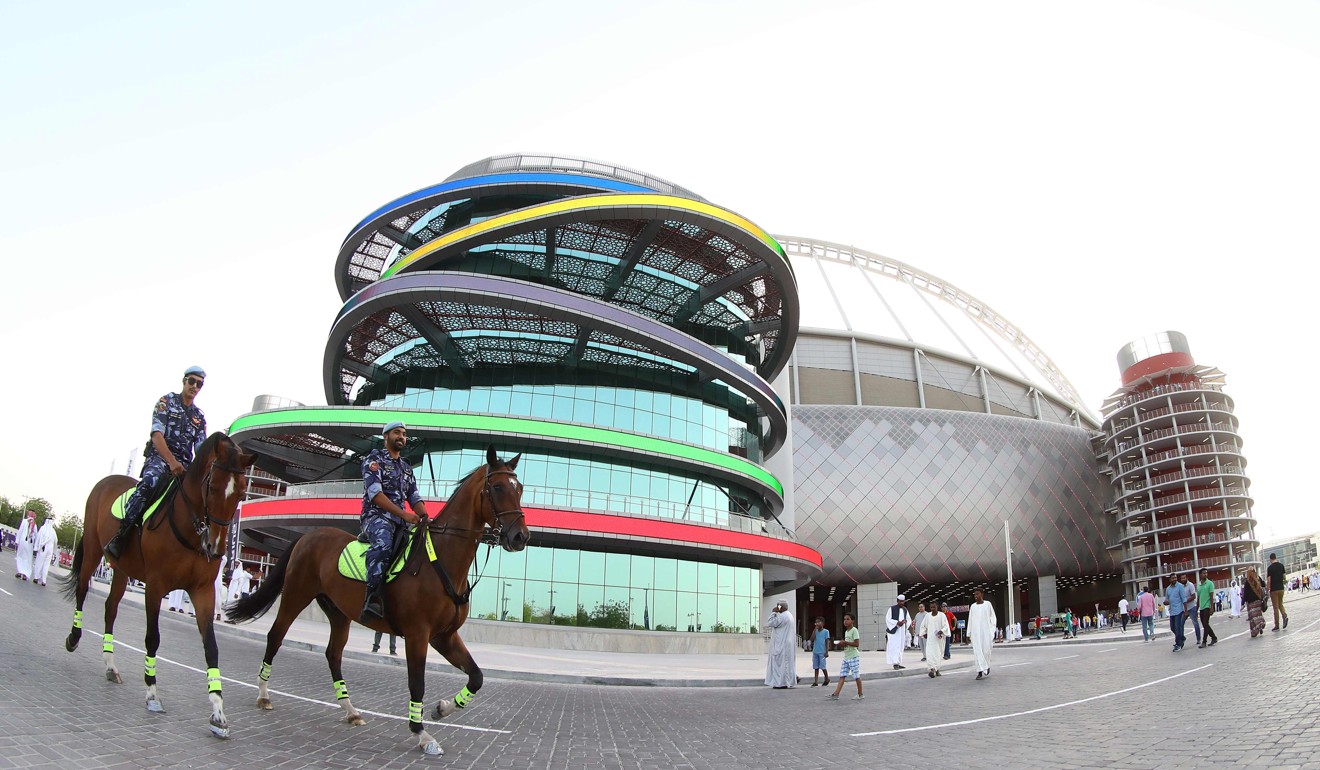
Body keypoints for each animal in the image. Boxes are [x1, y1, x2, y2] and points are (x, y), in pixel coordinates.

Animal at [61, 433, 257, 739]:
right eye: (212, 487)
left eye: (240, 495)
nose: (215, 548)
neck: (190, 527)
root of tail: (106, 481)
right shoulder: (154, 586)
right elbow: (153, 638)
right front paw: (152, 693)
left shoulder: (203, 591)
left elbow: (211, 647)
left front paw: (218, 712)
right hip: (93, 549)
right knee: (82, 590)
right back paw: (74, 637)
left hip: (121, 570)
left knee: (110, 609)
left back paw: (110, 665)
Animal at [228, 449, 530, 755]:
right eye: (497, 487)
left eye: (519, 488)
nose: (520, 536)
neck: (440, 559)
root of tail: (307, 536)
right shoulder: (418, 635)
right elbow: (417, 683)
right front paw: (421, 733)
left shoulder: (444, 636)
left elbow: (476, 677)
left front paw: (441, 709)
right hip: (295, 596)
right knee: (276, 636)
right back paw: (264, 695)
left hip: (338, 613)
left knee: (333, 655)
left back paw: (351, 711)